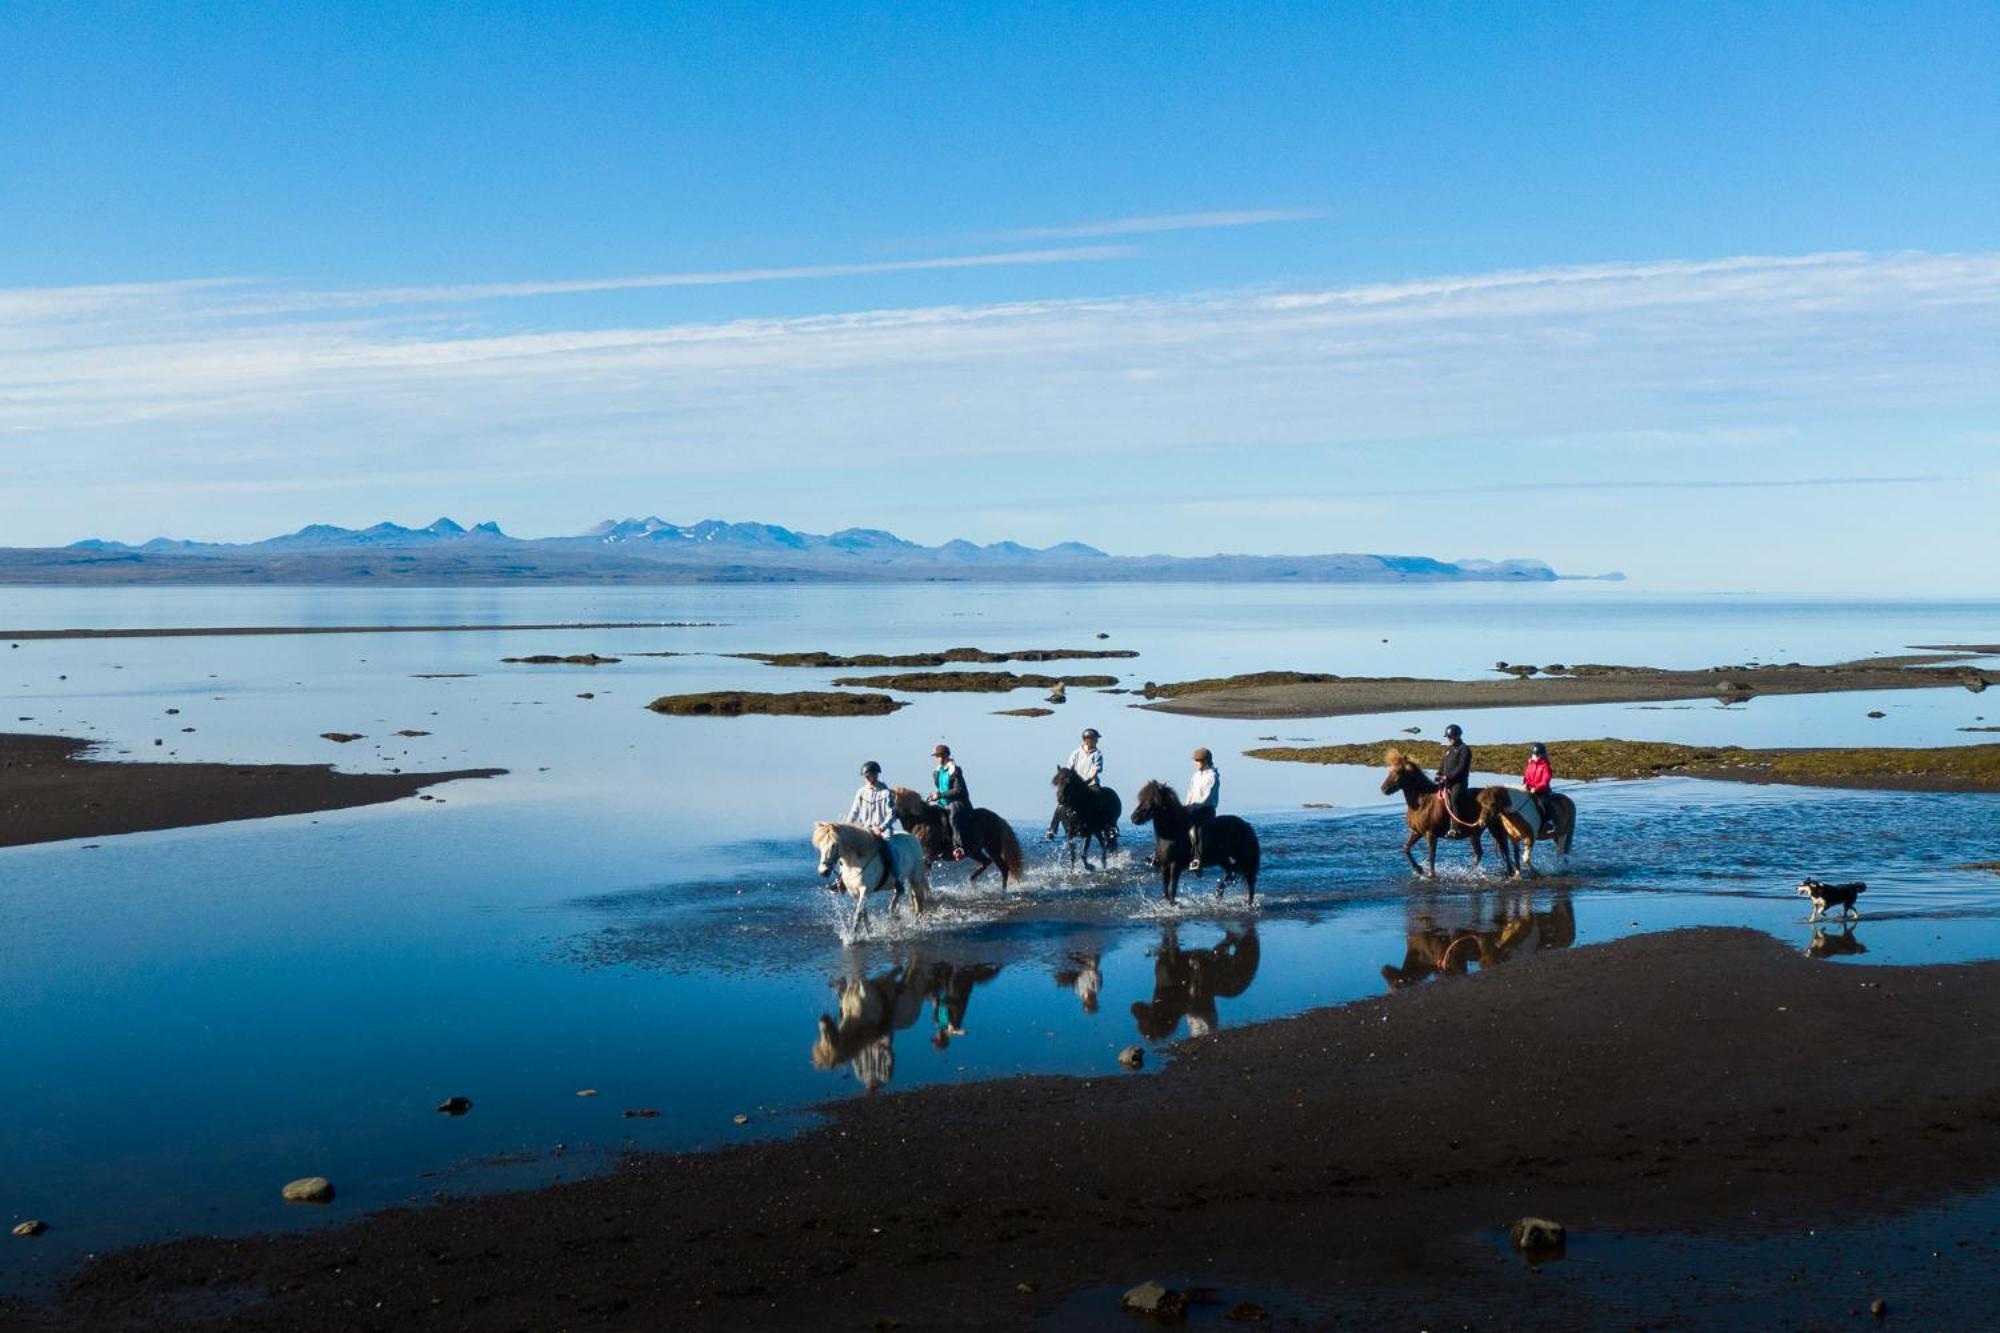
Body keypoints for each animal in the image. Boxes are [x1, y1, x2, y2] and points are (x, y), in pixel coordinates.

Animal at [896, 784, 1032, 888]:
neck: (921, 821)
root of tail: (998, 818)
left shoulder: (928, 857)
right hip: (973, 851)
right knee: (987, 862)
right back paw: (972, 881)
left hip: (992, 849)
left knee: (1003, 868)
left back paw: (1002, 892)